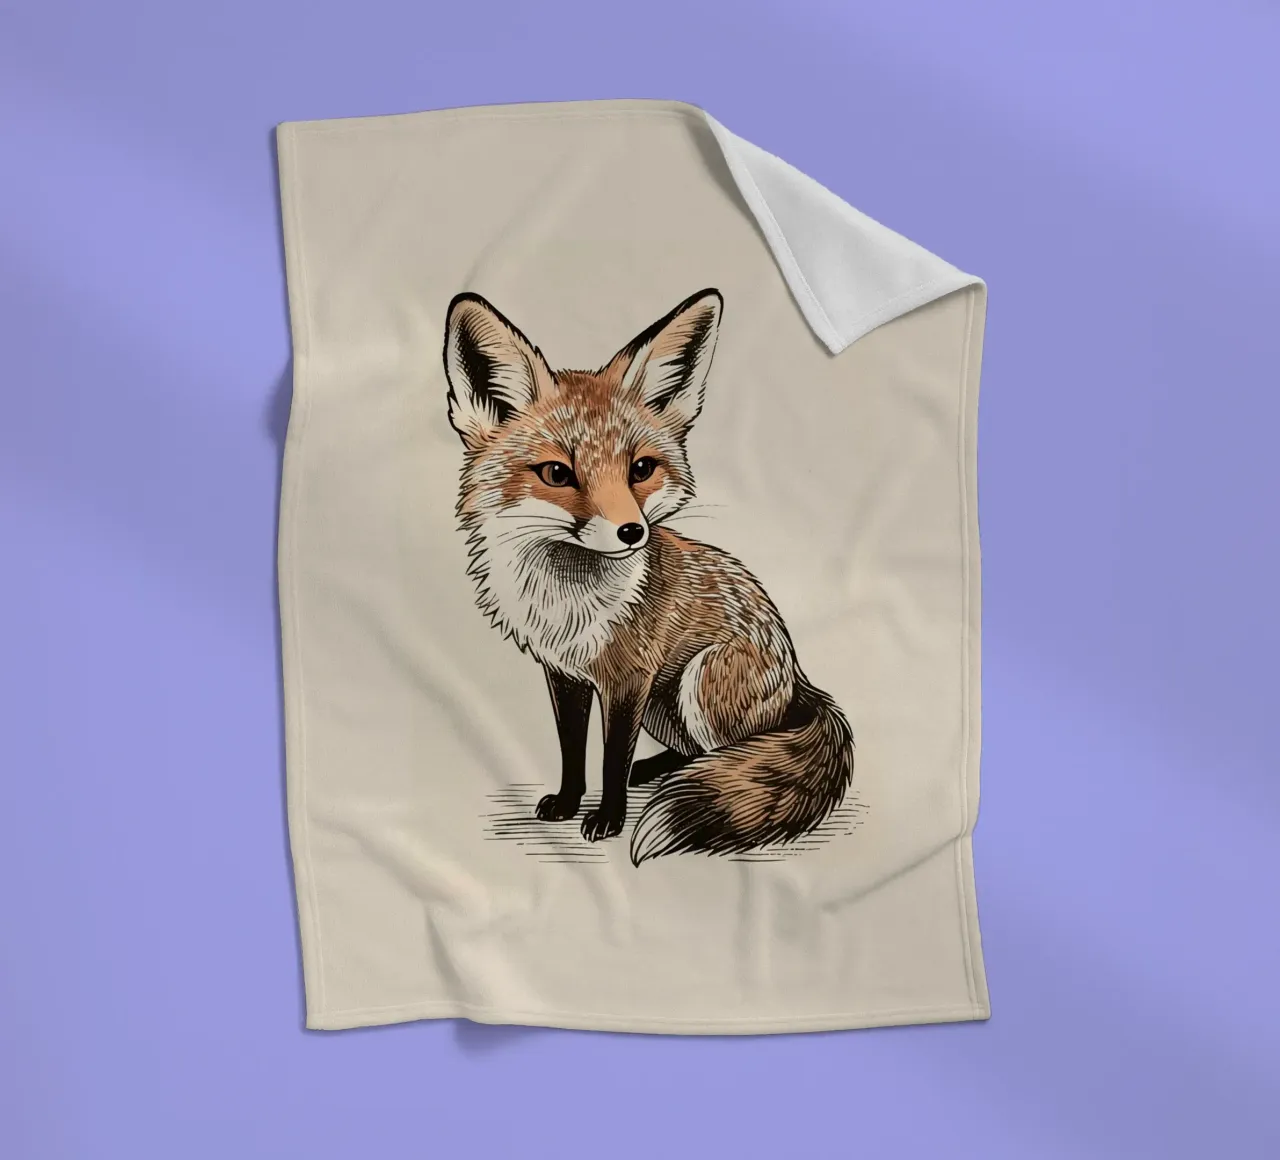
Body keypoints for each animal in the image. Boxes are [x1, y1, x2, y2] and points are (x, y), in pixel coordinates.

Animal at [442, 287, 854, 865]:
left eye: (641, 469)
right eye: (557, 474)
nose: (632, 532)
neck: (566, 602)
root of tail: (799, 677)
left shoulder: (629, 678)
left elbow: (612, 758)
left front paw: (608, 818)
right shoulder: (565, 674)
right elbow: (573, 749)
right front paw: (568, 802)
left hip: (697, 680)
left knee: (738, 754)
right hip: (667, 704)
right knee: (697, 752)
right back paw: (660, 769)